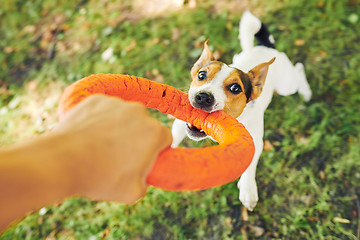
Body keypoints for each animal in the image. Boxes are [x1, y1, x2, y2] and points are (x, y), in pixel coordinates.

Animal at [170, 11, 310, 210]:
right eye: (201, 75)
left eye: (235, 88)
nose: (203, 97)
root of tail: (266, 47)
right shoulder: (180, 123)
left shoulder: (255, 142)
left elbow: (249, 166)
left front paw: (248, 189)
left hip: (286, 85)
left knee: (299, 68)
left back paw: (306, 93)